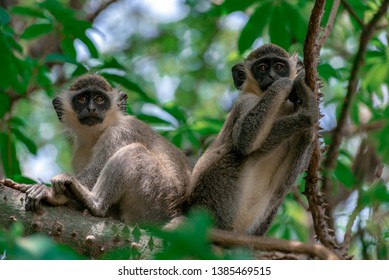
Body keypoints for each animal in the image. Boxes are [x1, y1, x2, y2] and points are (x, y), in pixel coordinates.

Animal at [0, 74, 192, 225]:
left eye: (99, 99)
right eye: (82, 99)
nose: (91, 108)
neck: (96, 135)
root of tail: (177, 211)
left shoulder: (121, 130)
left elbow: (97, 169)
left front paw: (49, 193)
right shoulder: (79, 149)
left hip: (160, 196)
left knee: (133, 152)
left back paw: (95, 204)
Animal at [184, 43, 318, 236]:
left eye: (279, 66)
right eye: (261, 68)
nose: (272, 76)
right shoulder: (246, 102)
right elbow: (245, 139)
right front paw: (289, 83)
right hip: (212, 200)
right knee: (238, 153)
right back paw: (309, 114)